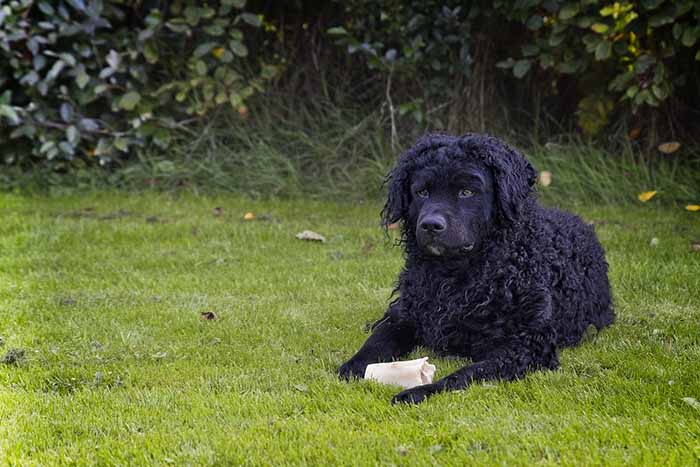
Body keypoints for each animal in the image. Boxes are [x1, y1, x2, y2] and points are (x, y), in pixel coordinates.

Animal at [340, 133, 612, 404]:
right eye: (422, 192)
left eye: (467, 191)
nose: (430, 225)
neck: (456, 276)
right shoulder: (407, 316)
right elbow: (376, 343)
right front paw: (353, 366)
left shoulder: (528, 345)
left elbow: (464, 374)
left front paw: (420, 391)